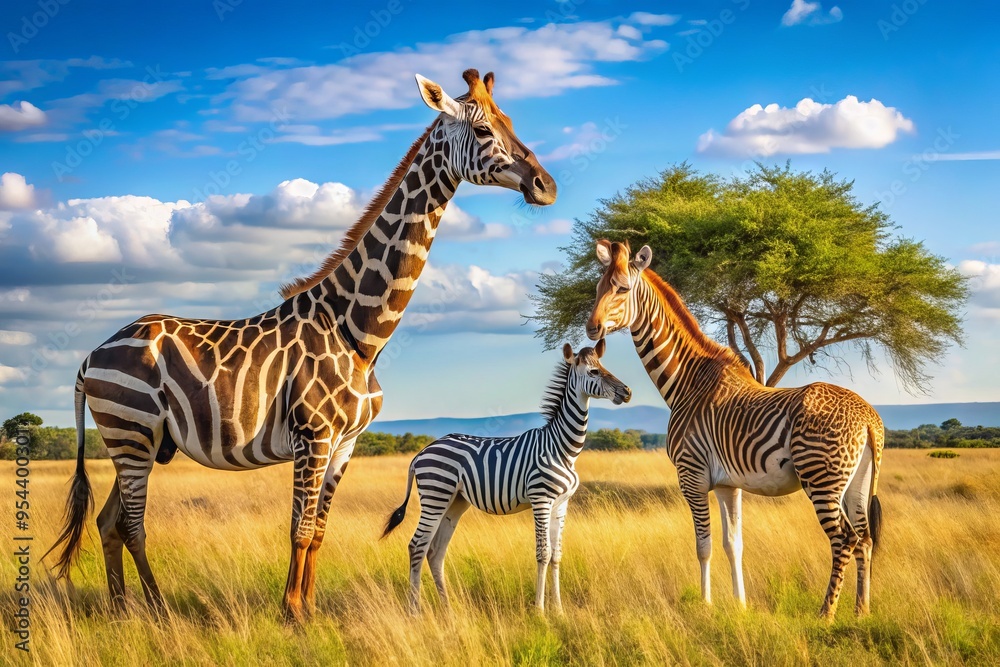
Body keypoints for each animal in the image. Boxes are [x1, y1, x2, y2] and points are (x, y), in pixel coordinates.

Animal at [42, 69, 556, 622]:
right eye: (483, 131)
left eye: (512, 122)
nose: (546, 186)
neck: (358, 332)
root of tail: (92, 355)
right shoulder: (313, 435)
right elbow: (299, 529)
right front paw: (291, 612)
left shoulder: (345, 442)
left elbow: (319, 532)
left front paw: (308, 608)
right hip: (131, 432)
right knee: (133, 525)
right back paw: (156, 610)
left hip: (138, 439)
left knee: (108, 521)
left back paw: (121, 610)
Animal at [382, 340, 632, 614]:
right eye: (593, 372)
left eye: (605, 367)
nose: (628, 392)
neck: (562, 448)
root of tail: (422, 452)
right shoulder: (541, 499)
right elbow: (543, 554)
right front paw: (540, 611)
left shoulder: (561, 504)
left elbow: (556, 555)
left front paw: (559, 611)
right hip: (436, 494)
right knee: (417, 545)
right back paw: (414, 611)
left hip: (455, 501)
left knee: (434, 551)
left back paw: (448, 610)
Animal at [585, 240, 884, 618]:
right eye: (597, 288)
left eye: (622, 289)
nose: (591, 328)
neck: (688, 381)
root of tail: (868, 417)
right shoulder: (729, 484)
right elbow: (733, 544)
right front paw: (740, 605)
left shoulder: (692, 476)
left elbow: (704, 545)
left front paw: (705, 603)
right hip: (857, 482)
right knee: (865, 538)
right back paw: (862, 611)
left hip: (821, 479)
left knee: (844, 538)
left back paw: (826, 614)